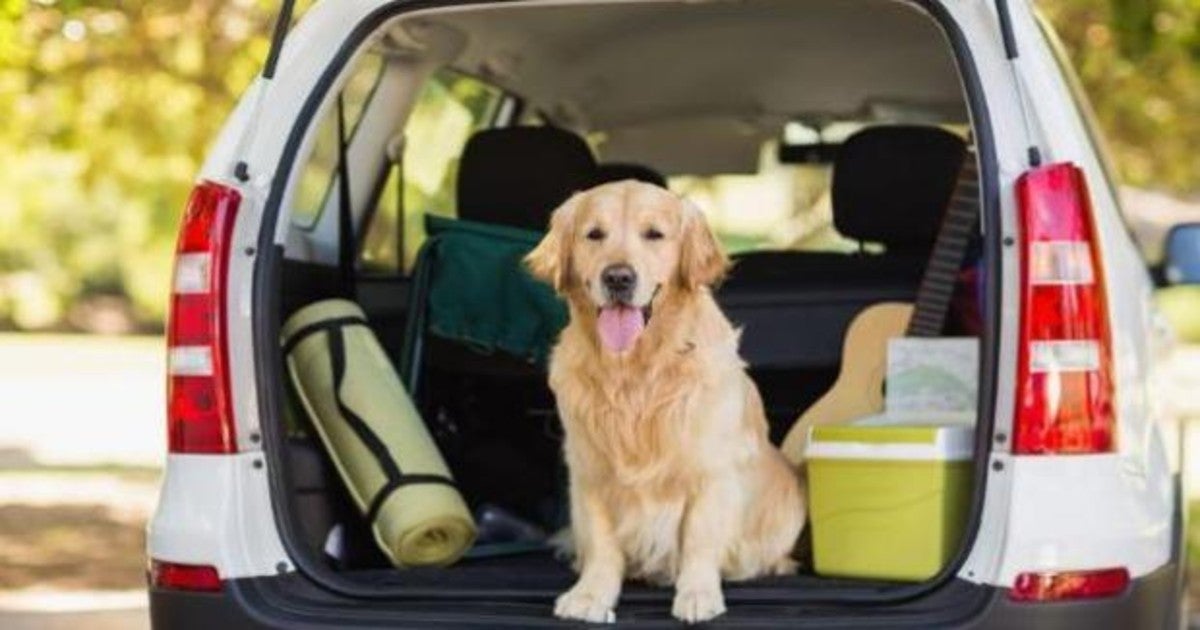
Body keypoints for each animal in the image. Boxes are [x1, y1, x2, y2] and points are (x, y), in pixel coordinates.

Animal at [528, 178, 801, 619]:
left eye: (654, 234)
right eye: (594, 234)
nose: (618, 278)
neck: (635, 372)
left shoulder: (711, 471)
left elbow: (700, 539)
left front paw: (698, 594)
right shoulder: (589, 471)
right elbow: (602, 543)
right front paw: (590, 594)